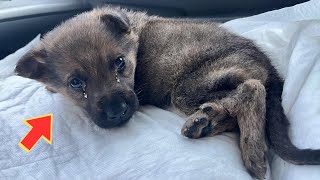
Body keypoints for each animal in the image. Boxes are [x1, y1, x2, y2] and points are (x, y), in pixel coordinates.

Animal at [15, 6, 320, 179]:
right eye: (76, 83)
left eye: (119, 63)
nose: (118, 113)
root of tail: (271, 69)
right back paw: (205, 122)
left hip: (189, 87)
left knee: (251, 90)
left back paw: (252, 152)